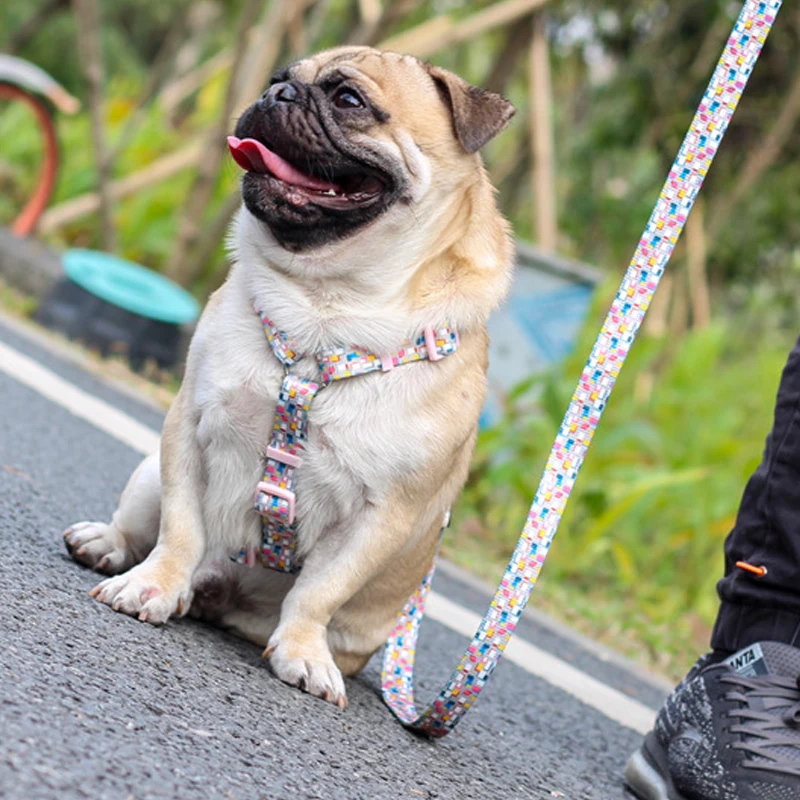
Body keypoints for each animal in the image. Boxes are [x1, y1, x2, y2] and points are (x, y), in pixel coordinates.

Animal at [61, 47, 512, 708]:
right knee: (143, 530)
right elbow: (181, 531)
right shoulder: (188, 432)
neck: (325, 310)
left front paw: (303, 651)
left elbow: (319, 590)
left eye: (348, 100)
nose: (277, 95)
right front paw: (154, 587)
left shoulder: (381, 517)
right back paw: (109, 546)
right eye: (279, 78)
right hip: (148, 474)